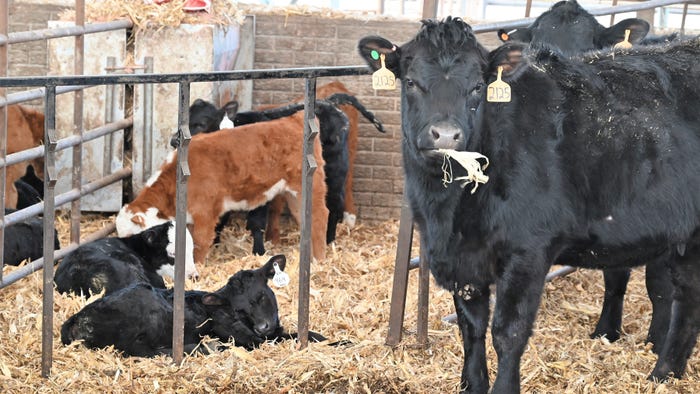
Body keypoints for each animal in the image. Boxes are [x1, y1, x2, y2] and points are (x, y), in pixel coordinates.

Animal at [60, 255, 330, 358]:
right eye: (239, 310)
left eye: (262, 295)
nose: (263, 326)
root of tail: (76, 318)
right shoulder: (246, 336)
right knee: (143, 350)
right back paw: (204, 347)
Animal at [116, 112, 330, 266]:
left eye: (131, 235)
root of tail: (295, 119)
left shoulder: (205, 213)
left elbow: (200, 243)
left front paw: (197, 267)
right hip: (293, 193)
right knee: (304, 217)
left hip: (311, 185)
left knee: (320, 216)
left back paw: (319, 259)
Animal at [360, 17, 700, 394]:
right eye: (411, 82)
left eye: (478, 87)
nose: (446, 135)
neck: (450, 214)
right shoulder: (463, 260)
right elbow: (471, 327)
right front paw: (472, 385)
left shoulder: (528, 251)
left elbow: (508, 332)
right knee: (688, 297)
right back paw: (666, 373)